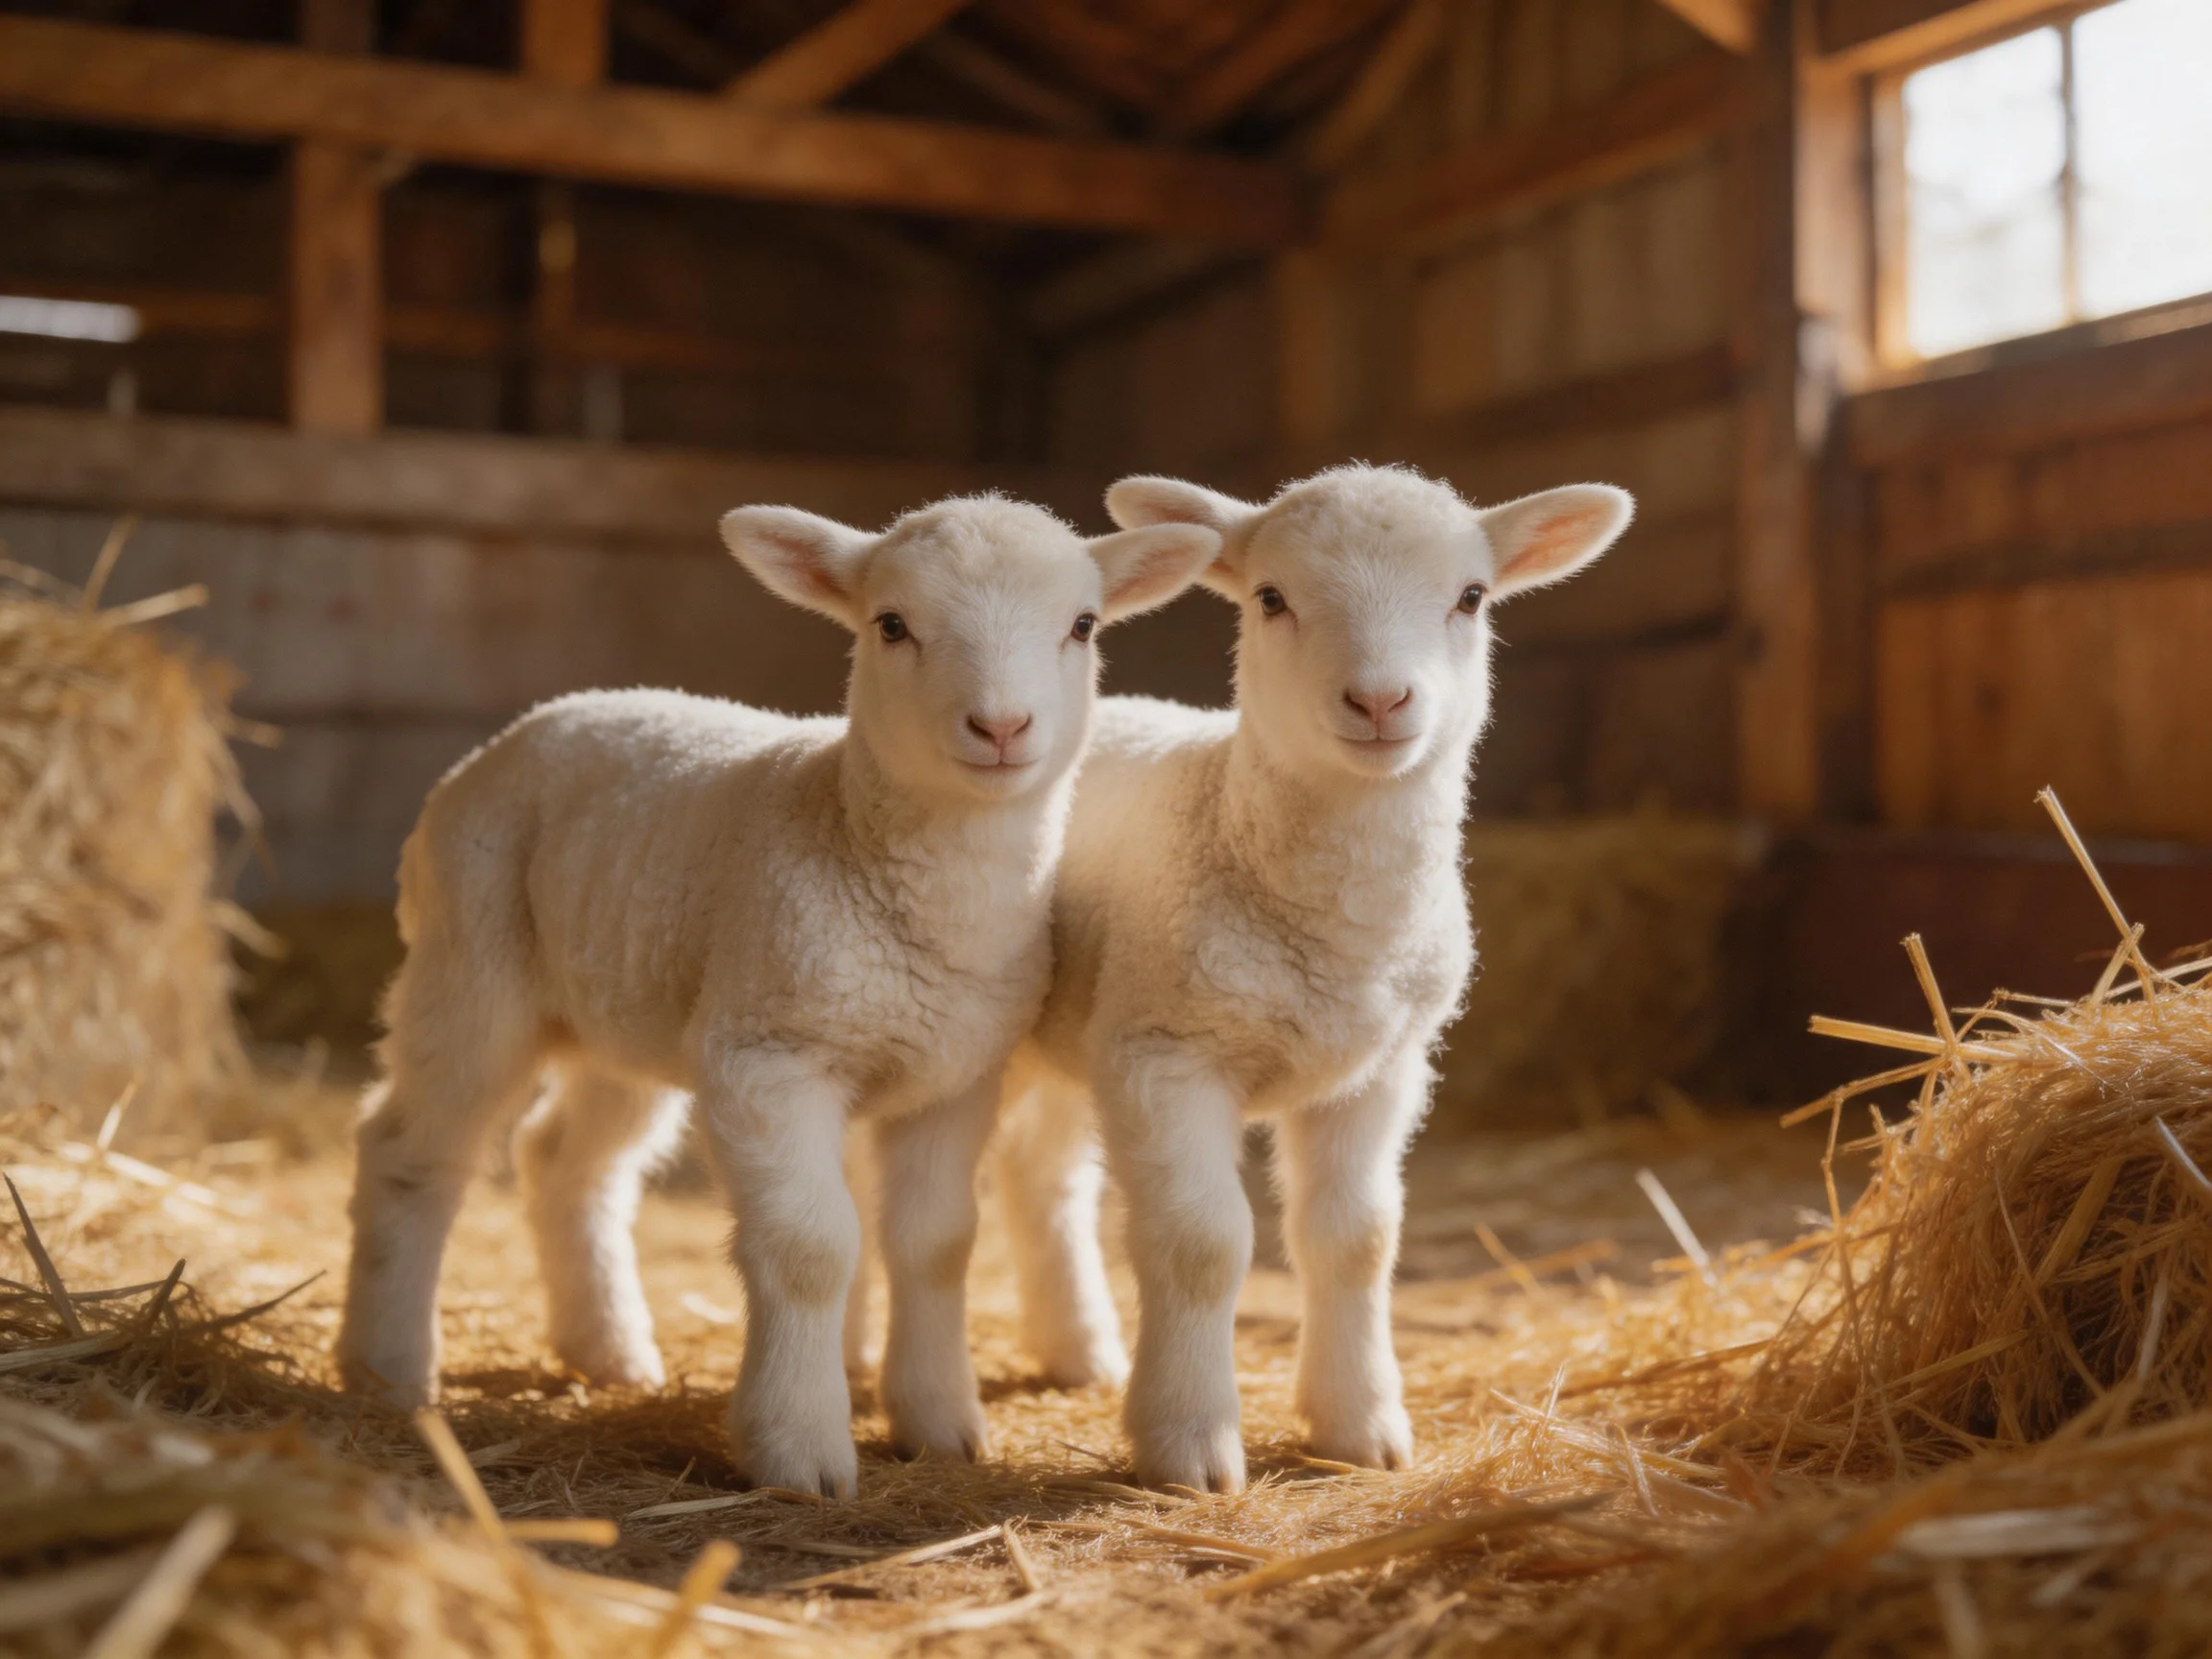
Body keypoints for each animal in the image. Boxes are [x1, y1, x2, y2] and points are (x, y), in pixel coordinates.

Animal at [333, 493, 1220, 1499]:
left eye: (1083, 626)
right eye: (891, 624)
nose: (1001, 727)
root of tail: (531, 722)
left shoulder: (955, 1075)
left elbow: (937, 1243)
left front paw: (938, 1425)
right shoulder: (770, 1056)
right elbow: (810, 1249)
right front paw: (799, 1450)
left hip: (631, 1003)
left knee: (568, 1158)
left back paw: (606, 1351)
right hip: (473, 962)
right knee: (411, 1150)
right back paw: (387, 1367)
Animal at [992, 463, 1634, 1493]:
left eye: (1471, 597)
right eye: (1271, 598)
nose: (1379, 701)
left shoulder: (1379, 1069)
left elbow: (1357, 1240)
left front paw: (1359, 1427)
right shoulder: (1165, 1054)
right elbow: (1203, 1244)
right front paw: (1190, 1443)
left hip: (1075, 1026)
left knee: (1041, 1173)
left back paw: (1077, 1351)